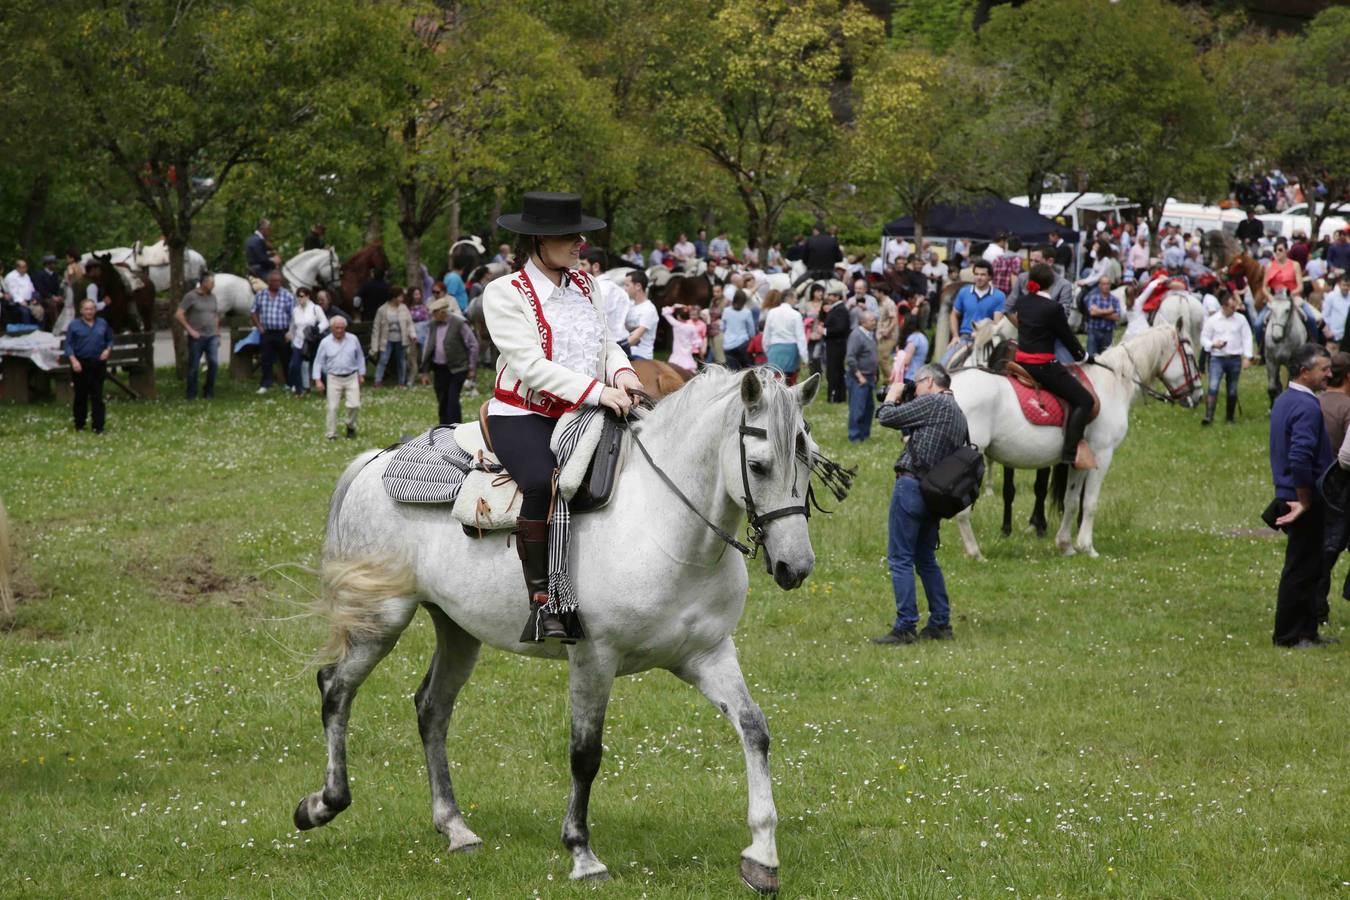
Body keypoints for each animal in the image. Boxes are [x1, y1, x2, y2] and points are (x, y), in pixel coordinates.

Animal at [298, 367, 820, 895]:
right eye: (757, 466)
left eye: (809, 461)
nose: (795, 567)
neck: (661, 525)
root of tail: (374, 462)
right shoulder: (593, 657)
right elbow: (585, 754)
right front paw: (583, 855)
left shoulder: (707, 654)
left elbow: (754, 729)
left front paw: (762, 856)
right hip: (380, 620)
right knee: (335, 688)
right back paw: (322, 804)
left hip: (457, 629)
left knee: (431, 708)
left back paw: (455, 827)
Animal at [950, 327, 1204, 558]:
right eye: (1191, 356)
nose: (1198, 395)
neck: (1111, 383)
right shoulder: (1102, 454)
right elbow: (1090, 503)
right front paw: (1087, 547)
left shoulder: (1080, 459)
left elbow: (1071, 501)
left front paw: (1066, 545)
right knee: (962, 509)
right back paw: (975, 553)